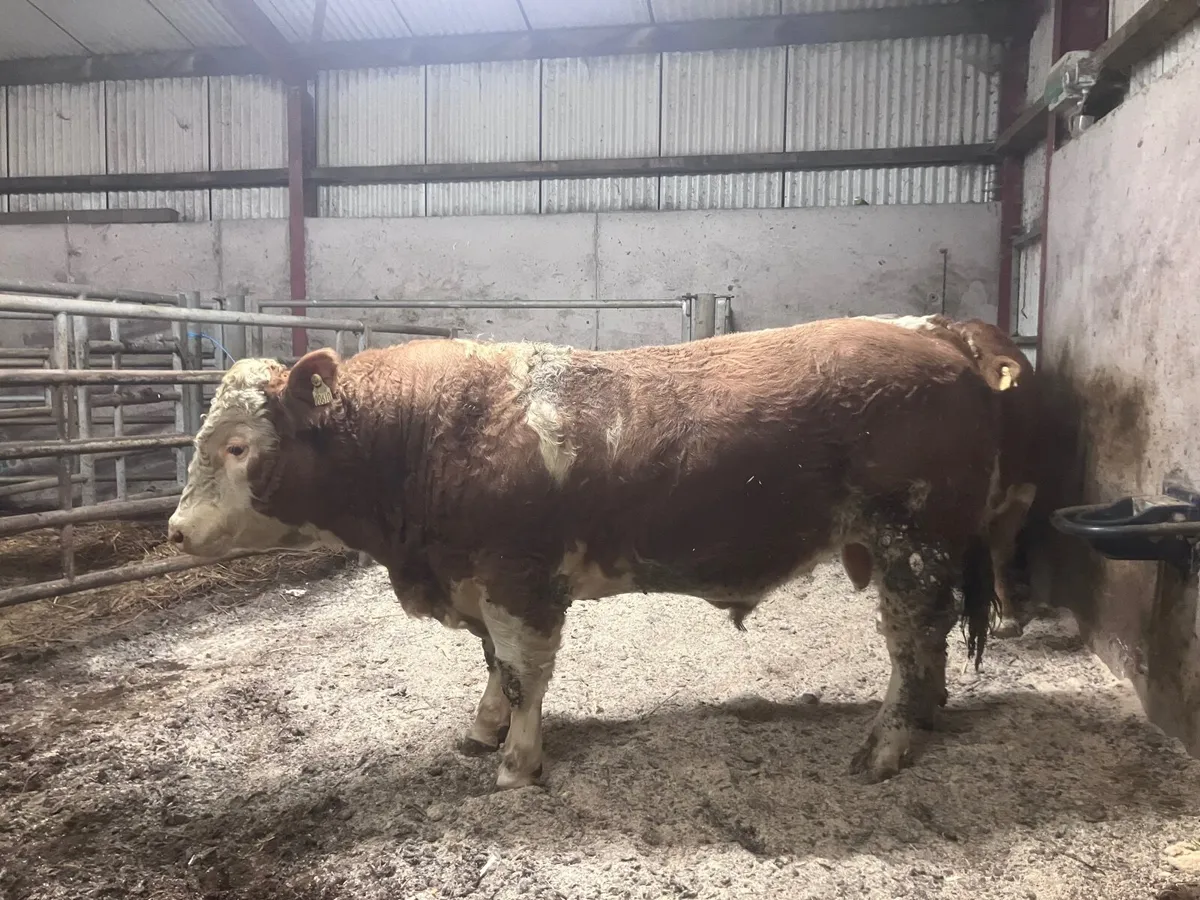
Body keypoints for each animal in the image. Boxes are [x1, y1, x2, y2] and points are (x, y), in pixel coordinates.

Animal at [167, 317, 1009, 790]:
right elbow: (492, 669)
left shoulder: (519, 580)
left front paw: (517, 762)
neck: (423, 434)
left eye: (238, 446)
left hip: (914, 545)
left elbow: (523, 673)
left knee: (911, 639)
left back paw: (889, 744)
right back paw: (925, 718)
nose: (175, 531)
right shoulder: (478, 582)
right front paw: (484, 729)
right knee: (926, 642)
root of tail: (936, 337)